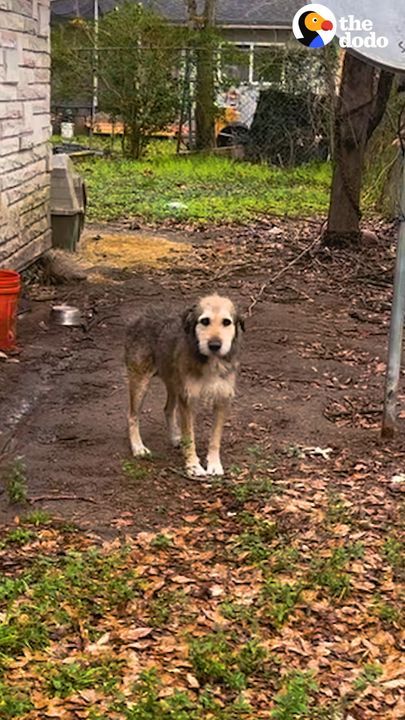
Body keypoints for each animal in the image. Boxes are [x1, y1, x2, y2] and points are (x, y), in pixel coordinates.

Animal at [124, 292, 243, 478]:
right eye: (205, 321)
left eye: (226, 322)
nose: (215, 345)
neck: (211, 361)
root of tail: (140, 314)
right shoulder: (188, 400)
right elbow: (190, 437)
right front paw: (193, 466)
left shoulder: (222, 399)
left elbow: (215, 438)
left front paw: (214, 464)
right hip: (140, 382)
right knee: (132, 415)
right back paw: (138, 447)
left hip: (175, 384)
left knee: (167, 409)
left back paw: (174, 437)